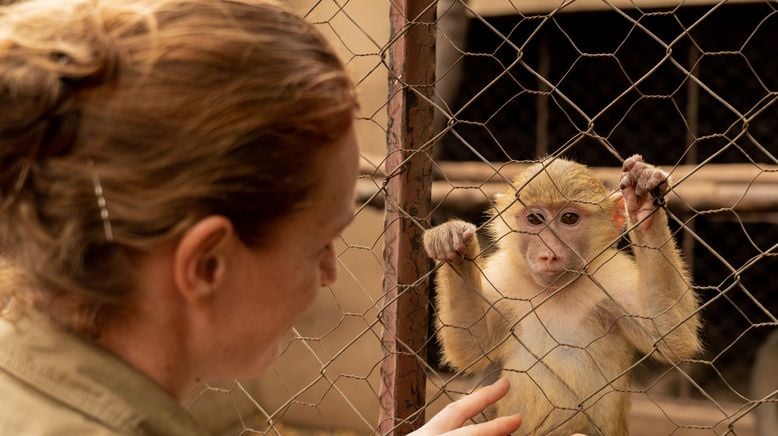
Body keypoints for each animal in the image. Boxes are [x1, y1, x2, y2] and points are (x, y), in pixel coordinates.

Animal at [422, 157, 700, 436]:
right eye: (535, 219)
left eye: (569, 218)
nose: (549, 254)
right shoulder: (503, 275)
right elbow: (472, 349)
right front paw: (453, 248)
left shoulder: (610, 273)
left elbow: (671, 337)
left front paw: (644, 208)